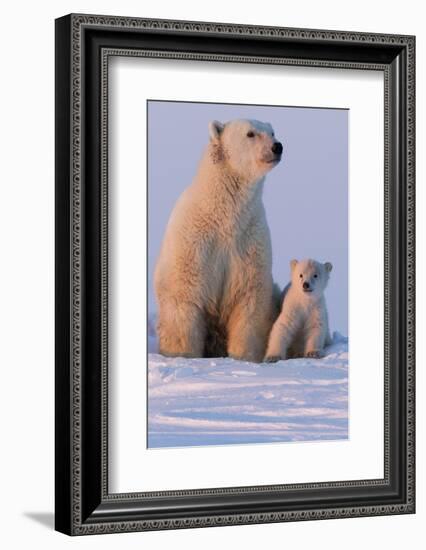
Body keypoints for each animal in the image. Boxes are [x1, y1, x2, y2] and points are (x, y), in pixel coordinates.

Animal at [154, 118, 282, 364]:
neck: (224, 216)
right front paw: (183, 355)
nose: (277, 147)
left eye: (272, 132)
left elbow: (249, 300)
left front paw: (244, 358)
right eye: (250, 134)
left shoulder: (249, 240)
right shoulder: (194, 242)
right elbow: (184, 295)